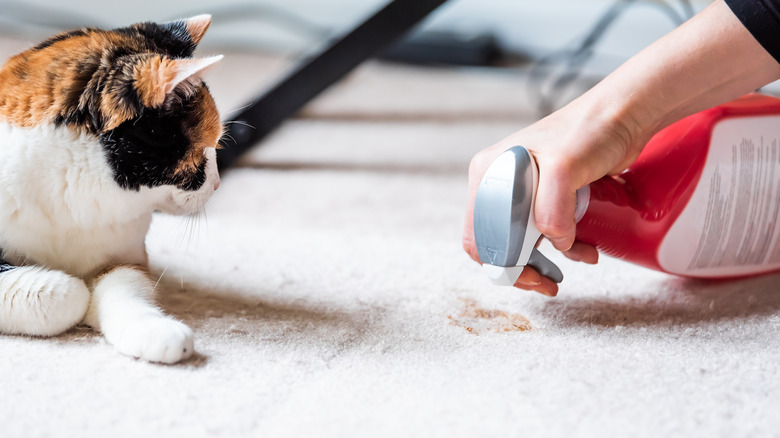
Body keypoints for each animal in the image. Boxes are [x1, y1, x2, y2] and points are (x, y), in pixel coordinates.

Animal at [0, 14, 222, 362]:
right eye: (203, 150)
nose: (217, 184)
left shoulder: (125, 257)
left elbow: (124, 289)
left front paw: (158, 332)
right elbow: (67, 294)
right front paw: (72, 290)